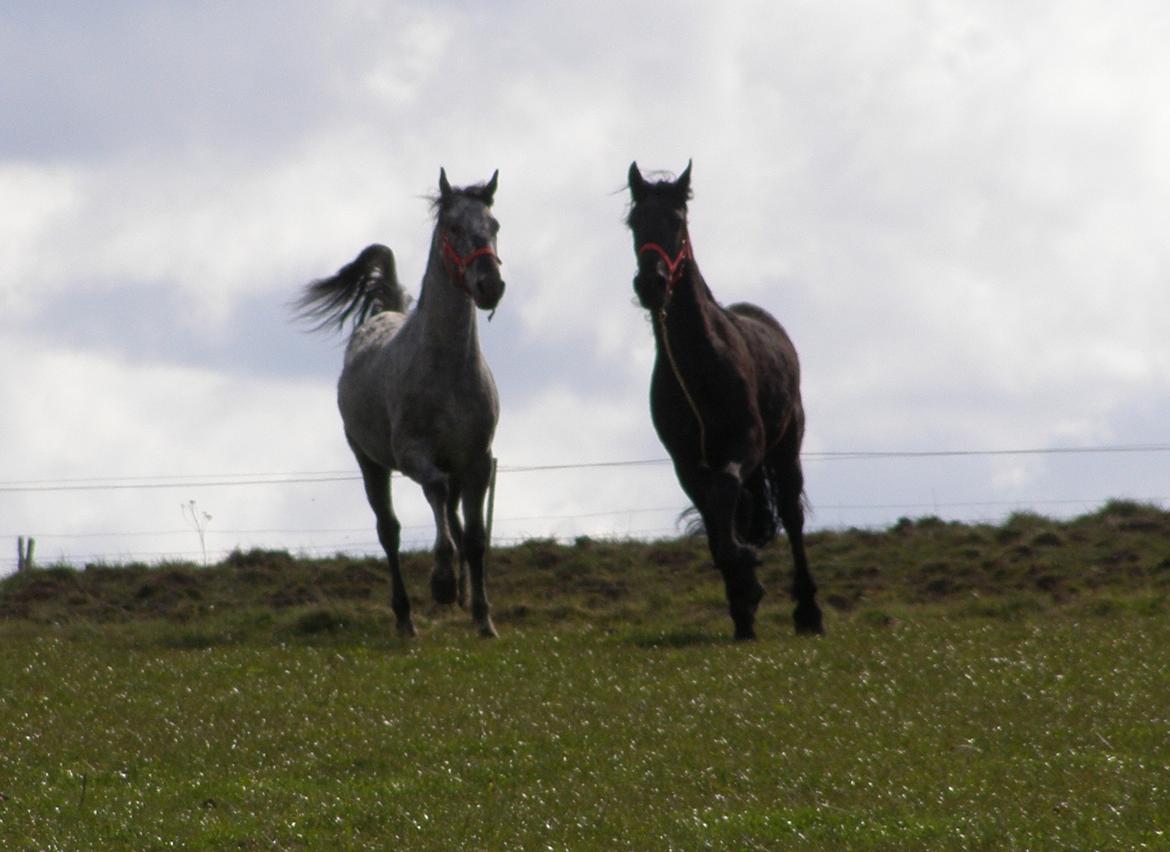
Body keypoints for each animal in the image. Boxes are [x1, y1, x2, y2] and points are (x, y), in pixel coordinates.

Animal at [297, 166, 503, 636]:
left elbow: (476, 538)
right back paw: (406, 618)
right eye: (453, 228)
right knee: (389, 530)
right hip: (370, 463)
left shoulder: (478, 461)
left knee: (453, 518)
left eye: (495, 226)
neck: (447, 371)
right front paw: (442, 582)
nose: (491, 286)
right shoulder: (413, 456)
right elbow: (436, 492)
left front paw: (483, 618)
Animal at [631, 161, 823, 636]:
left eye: (676, 221)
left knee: (791, 515)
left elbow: (725, 493)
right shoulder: (685, 461)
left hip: (786, 448)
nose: (651, 283)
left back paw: (809, 613)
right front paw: (742, 597)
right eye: (635, 222)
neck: (700, 366)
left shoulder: (746, 443)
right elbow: (715, 512)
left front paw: (745, 571)